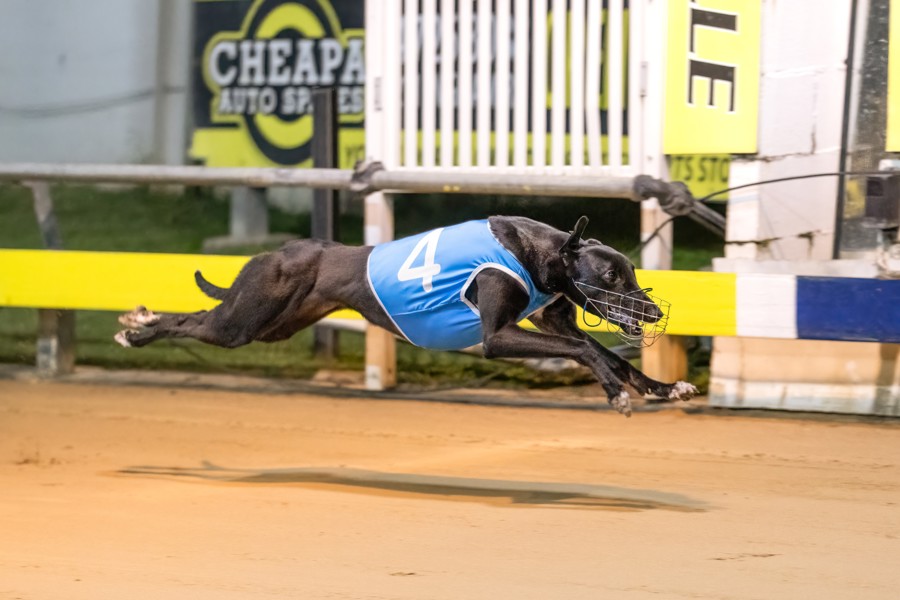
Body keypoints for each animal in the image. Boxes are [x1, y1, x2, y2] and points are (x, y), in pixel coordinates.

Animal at [115, 216, 697, 416]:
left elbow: (605, 352)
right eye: (613, 276)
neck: (543, 254)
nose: (651, 310)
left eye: (630, 271)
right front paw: (616, 394)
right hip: (245, 321)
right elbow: (584, 350)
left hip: (274, 324)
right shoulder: (497, 337)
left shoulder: (551, 320)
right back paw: (138, 328)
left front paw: (661, 387)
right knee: (191, 321)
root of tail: (273, 253)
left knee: (201, 316)